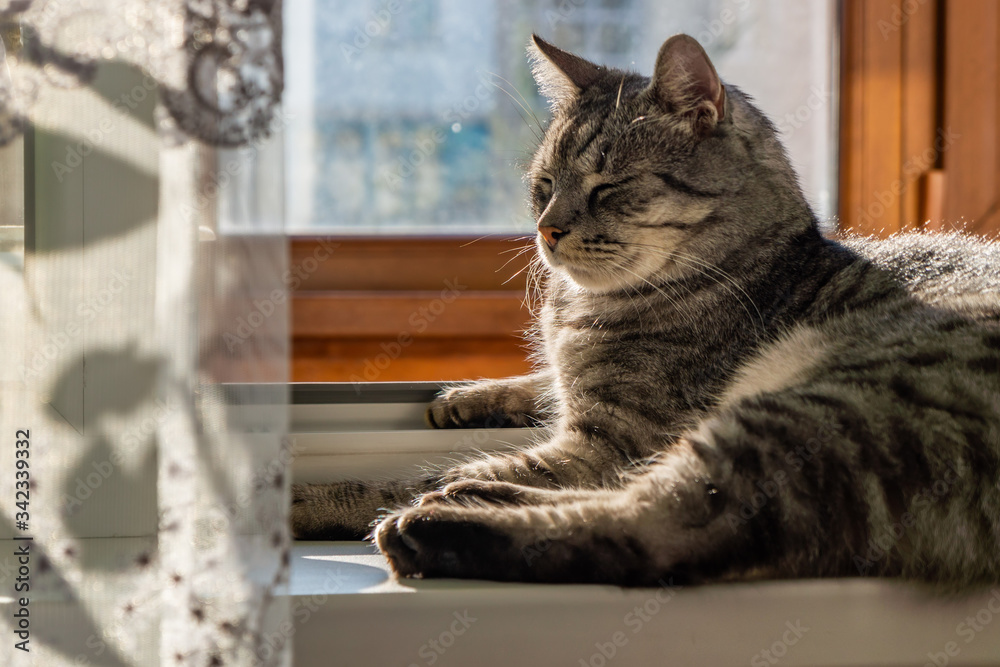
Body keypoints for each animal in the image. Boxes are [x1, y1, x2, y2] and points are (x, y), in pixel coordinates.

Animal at [290, 34, 1000, 588]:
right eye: (543, 186)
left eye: (608, 188)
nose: (546, 229)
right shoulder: (580, 410)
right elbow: (541, 380)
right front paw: (469, 396)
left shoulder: (603, 440)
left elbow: (385, 481)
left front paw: (308, 496)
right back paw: (474, 495)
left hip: (799, 414)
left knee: (646, 529)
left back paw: (439, 519)